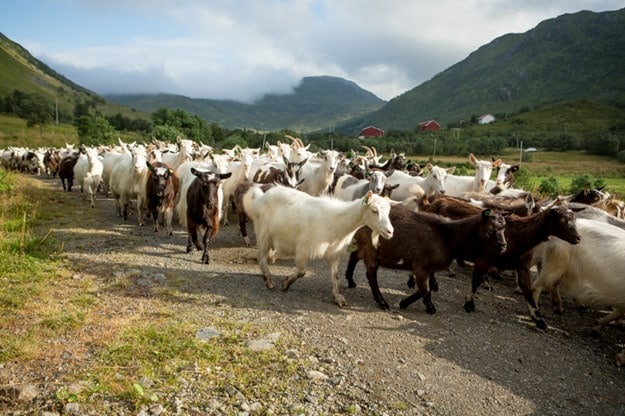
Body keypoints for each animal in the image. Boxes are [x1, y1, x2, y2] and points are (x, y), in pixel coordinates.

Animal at [247, 187, 390, 308]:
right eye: (374, 210)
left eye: (388, 212)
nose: (390, 231)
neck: (337, 221)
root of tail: (261, 197)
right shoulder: (303, 248)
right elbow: (302, 271)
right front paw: (286, 283)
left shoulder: (334, 252)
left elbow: (335, 275)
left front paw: (337, 297)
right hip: (264, 232)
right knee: (261, 255)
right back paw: (268, 279)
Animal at [346, 205, 508, 312]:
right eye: (492, 229)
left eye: (504, 228)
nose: (503, 246)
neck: (447, 236)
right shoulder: (421, 266)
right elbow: (425, 289)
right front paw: (403, 303)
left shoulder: (429, 268)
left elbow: (428, 287)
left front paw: (429, 306)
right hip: (372, 249)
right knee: (371, 275)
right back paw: (382, 302)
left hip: (365, 247)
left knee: (354, 256)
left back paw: (351, 281)